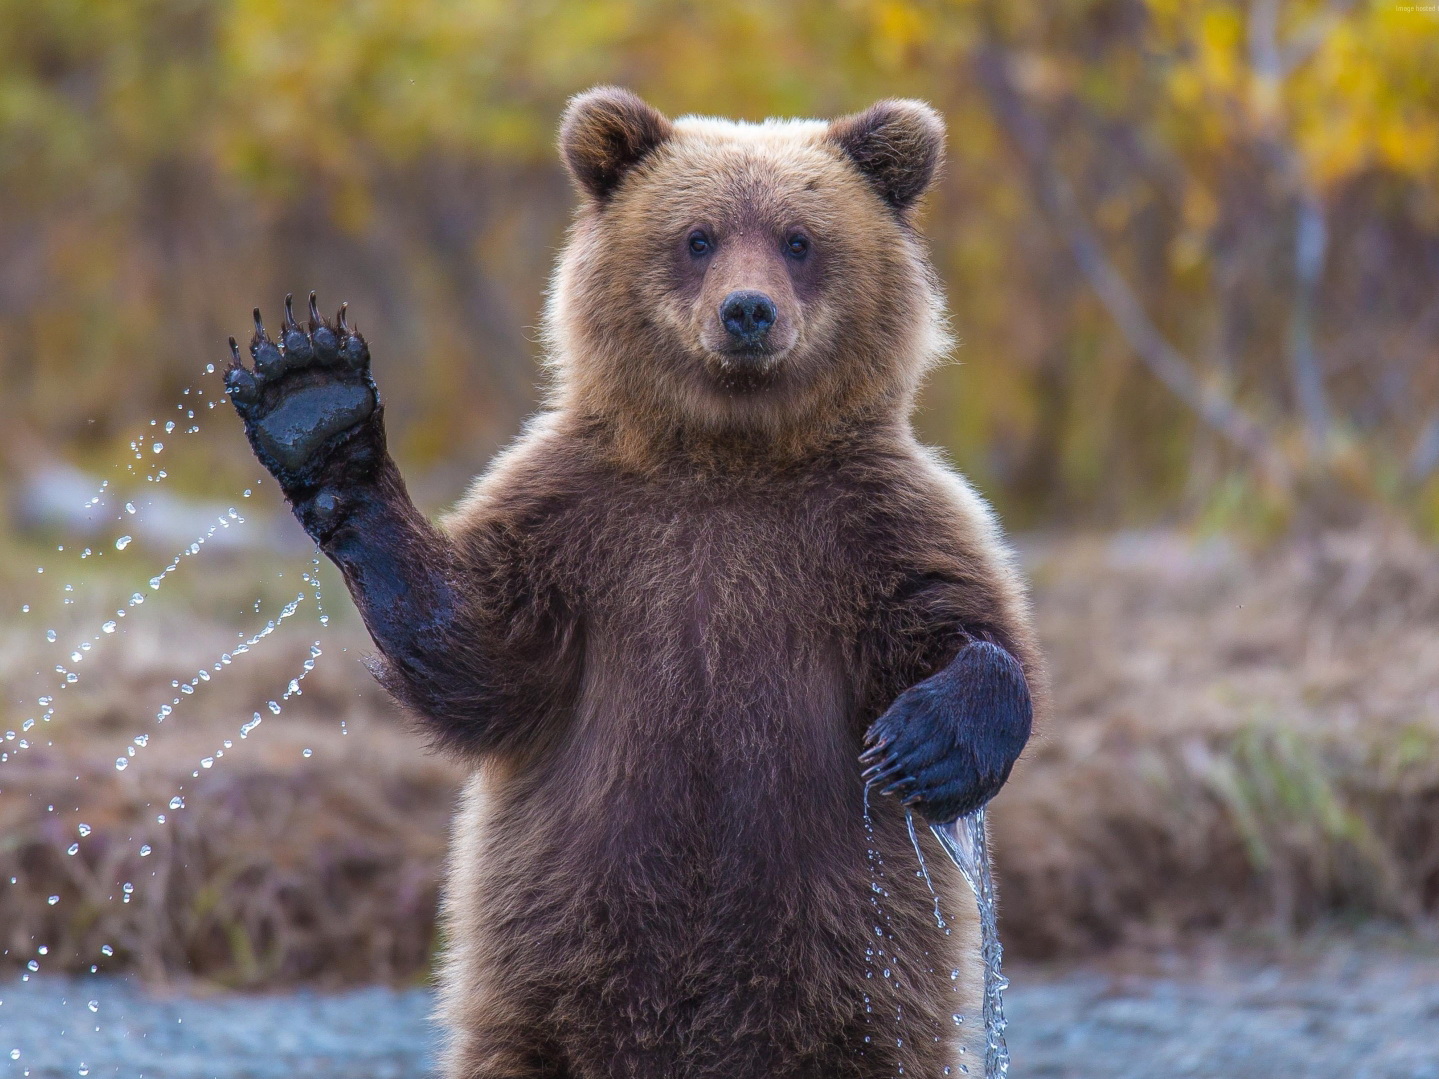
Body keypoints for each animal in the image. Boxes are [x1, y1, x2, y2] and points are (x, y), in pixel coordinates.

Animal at [224, 90, 1047, 1079]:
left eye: (798, 238)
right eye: (697, 236)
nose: (746, 311)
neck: (728, 453)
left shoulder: (872, 523)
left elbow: (966, 623)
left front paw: (922, 741)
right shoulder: (580, 524)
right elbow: (479, 654)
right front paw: (313, 400)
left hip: (861, 987)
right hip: (541, 977)